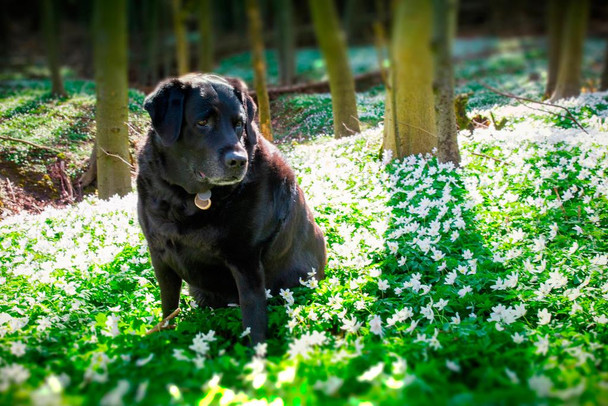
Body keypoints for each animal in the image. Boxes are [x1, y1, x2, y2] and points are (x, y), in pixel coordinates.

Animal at [138, 73, 328, 342]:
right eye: (203, 122)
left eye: (239, 123)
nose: (239, 161)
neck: (189, 197)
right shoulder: (159, 255)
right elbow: (168, 309)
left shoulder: (246, 262)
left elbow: (253, 322)